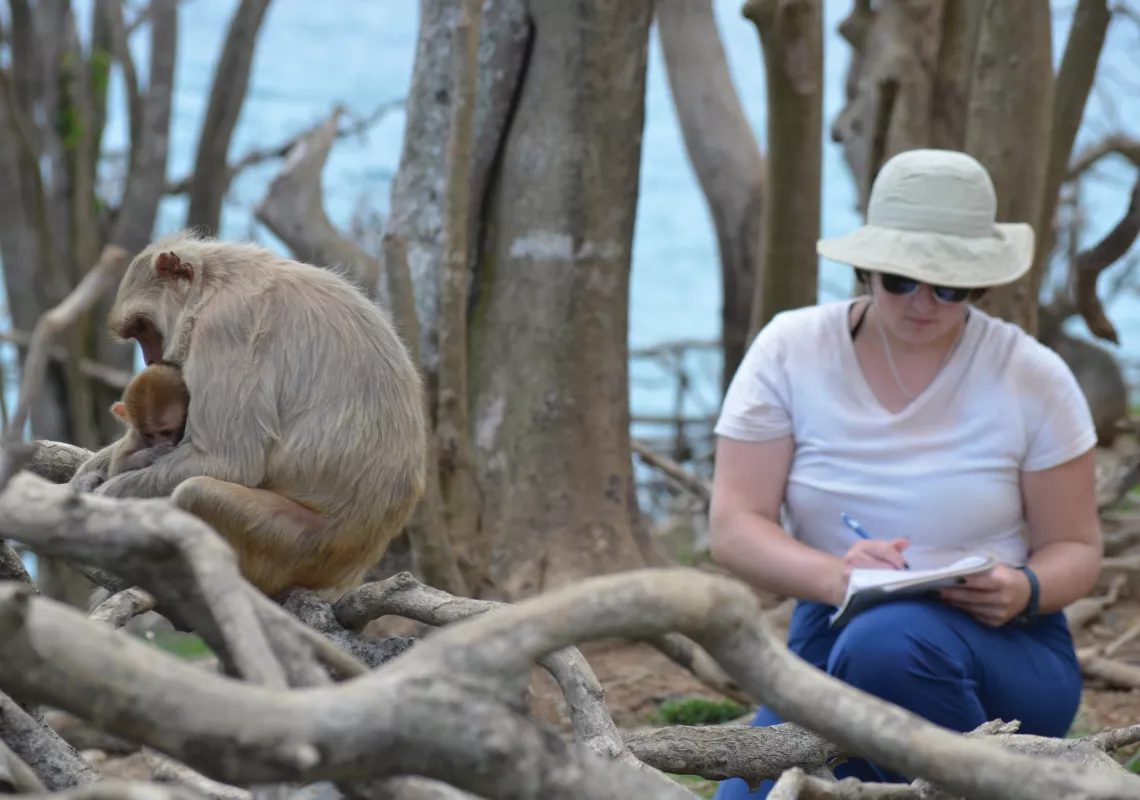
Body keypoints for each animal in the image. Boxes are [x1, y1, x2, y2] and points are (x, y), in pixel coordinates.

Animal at [69, 229, 428, 601]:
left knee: (196, 494)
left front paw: (106, 501)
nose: (150, 360)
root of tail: (354, 564)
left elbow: (228, 461)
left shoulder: (224, 328)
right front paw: (84, 479)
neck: (215, 285)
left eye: (143, 328)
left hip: (298, 547)